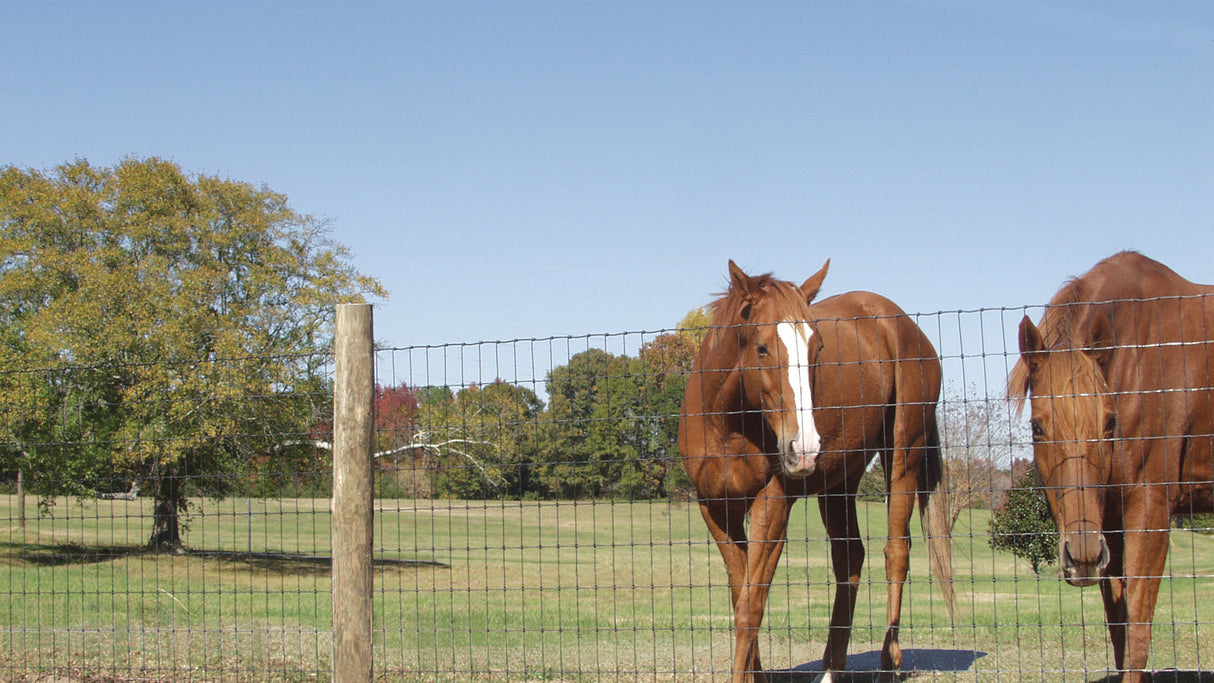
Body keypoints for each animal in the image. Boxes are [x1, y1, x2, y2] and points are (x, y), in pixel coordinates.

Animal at [678, 260, 954, 683]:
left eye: (817, 347)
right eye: (761, 347)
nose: (804, 448)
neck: (727, 424)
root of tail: (906, 327)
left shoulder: (773, 505)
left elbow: (750, 609)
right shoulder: (716, 509)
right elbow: (740, 594)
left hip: (903, 456)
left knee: (896, 553)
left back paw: (887, 664)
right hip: (839, 484)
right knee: (850, 559)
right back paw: (829, 670)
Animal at [1009, 251, 1214, 682]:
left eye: (1109, 424)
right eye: (1037, 427)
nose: (1083, 555)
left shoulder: (1150, 512)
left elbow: (1136, 636)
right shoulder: (1113, 524)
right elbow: (1119, 635)